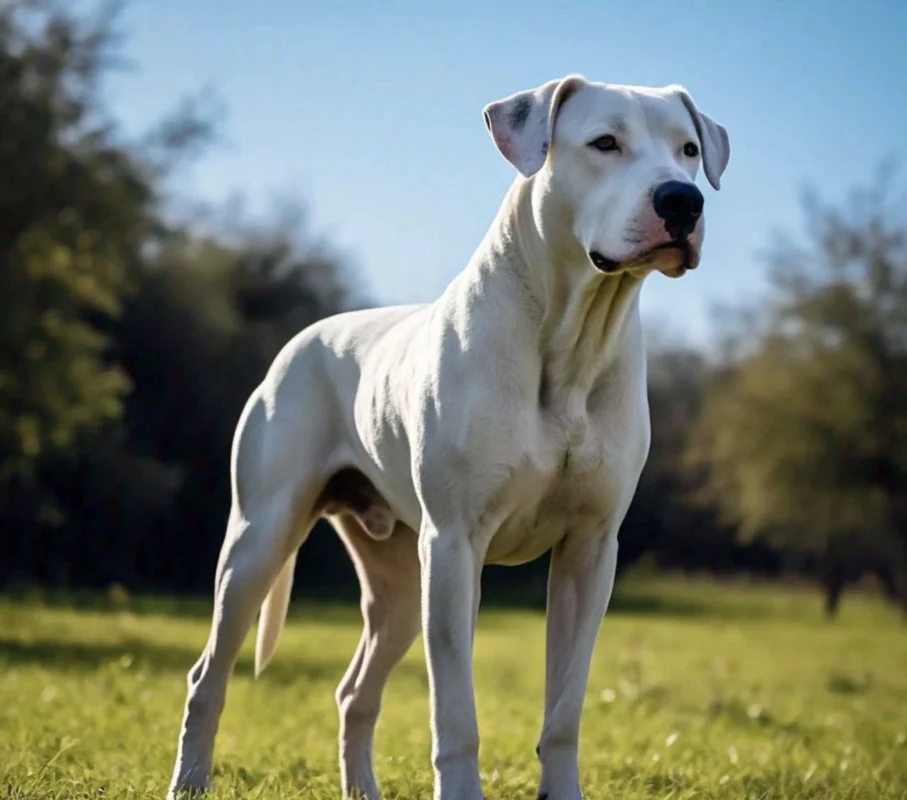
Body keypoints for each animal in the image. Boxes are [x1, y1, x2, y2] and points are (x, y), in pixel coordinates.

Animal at [170, 75, 732, 800]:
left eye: (687, 150)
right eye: (605, 142)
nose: (682, 199)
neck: (572, 336)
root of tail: (301, 339)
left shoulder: (589, 552)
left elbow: (564, 710)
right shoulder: (456, 546)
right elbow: (456, 711)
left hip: (402, 585)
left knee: (355, 692)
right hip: (260, 540)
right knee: (208, 673)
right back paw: (189, 780)